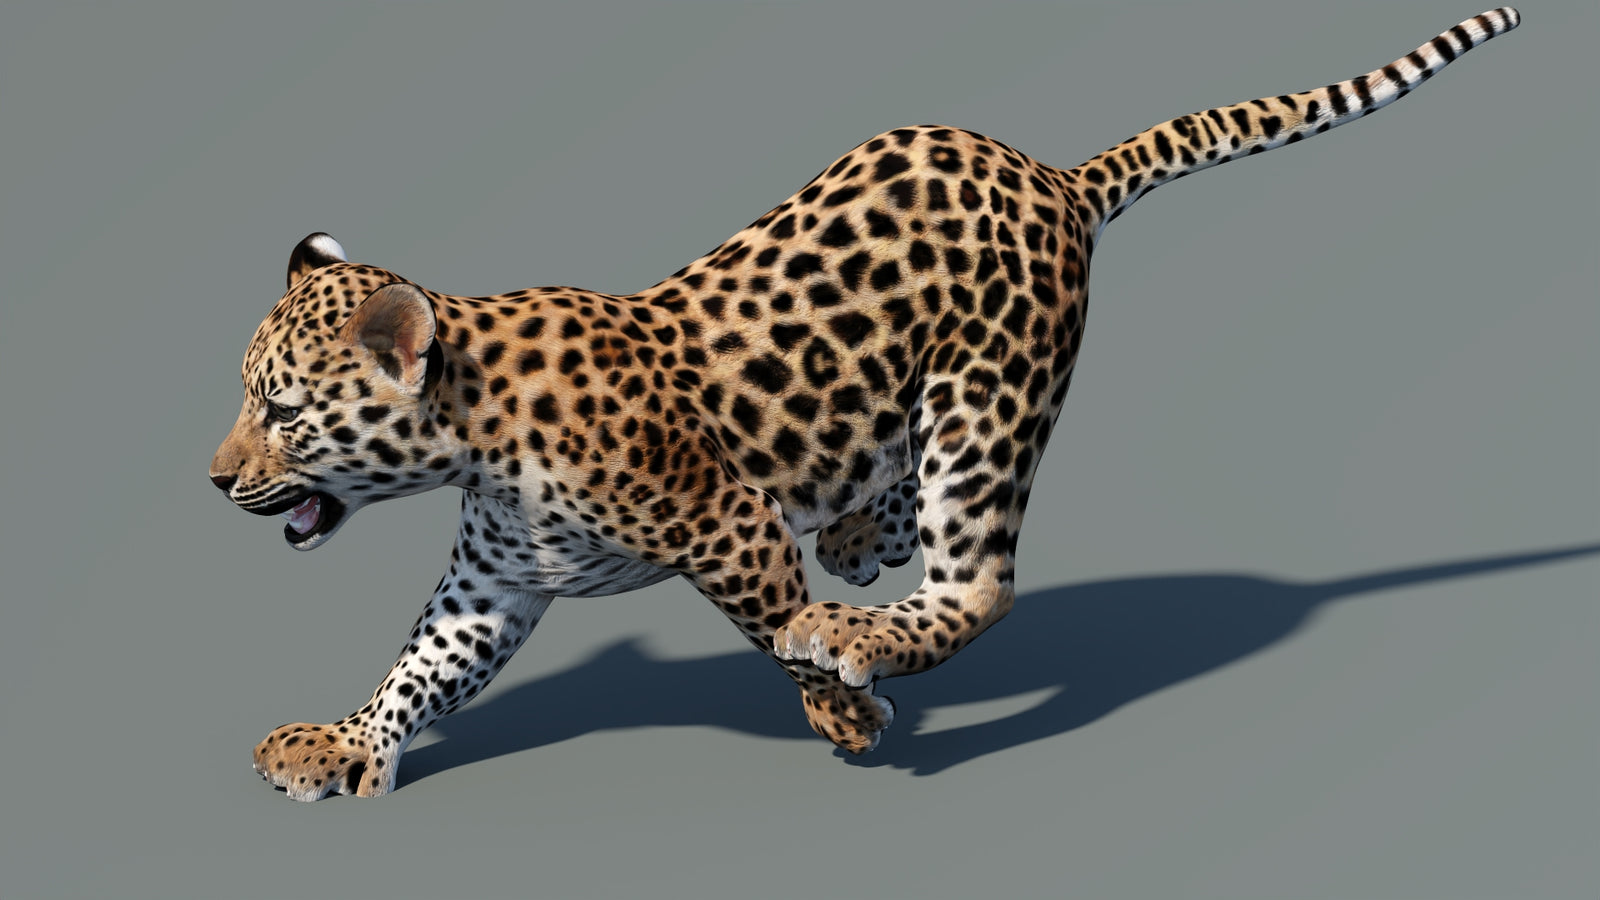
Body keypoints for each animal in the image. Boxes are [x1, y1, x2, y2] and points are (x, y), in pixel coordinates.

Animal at [210, 9, 1520, 800]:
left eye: (281, 411)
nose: (216, 480)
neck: (472, 434)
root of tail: (1054, 175)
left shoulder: (723, 523)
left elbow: (767, 619)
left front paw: (841, 713)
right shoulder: (496, 582)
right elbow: (420, 666)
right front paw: (341, 743)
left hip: (988, 398)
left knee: (980, 578)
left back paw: (862, 629)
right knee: (889, 487)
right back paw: (855, 537)